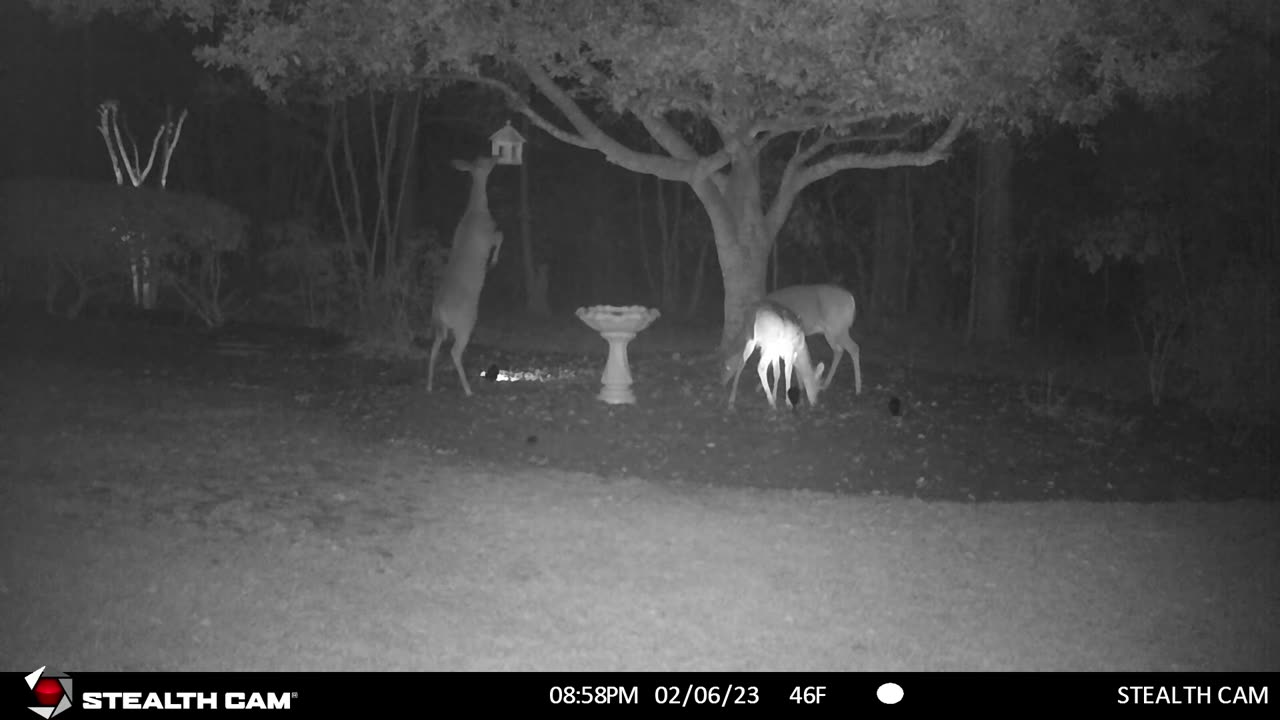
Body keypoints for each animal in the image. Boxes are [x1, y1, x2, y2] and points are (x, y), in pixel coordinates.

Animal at [427, 153, 501, 394]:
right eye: (486, 160)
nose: (497, 156)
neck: (476, 210)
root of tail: (439, 309)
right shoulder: (489, 235)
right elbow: (501, 235)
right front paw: (493, 263)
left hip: (440, 328)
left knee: (434, 349)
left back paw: (429, 386)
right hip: (465, 322)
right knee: (454, 352)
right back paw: (468, 390)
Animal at [721, 281, 860, 392]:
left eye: (726, 367)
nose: (721, 382)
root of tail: (851, 299)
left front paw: (760, 386)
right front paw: (801, 385)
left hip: (838, 328)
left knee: (854, 348)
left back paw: (858, 388)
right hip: (831, 332)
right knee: (839, 350)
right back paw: (826, 384)